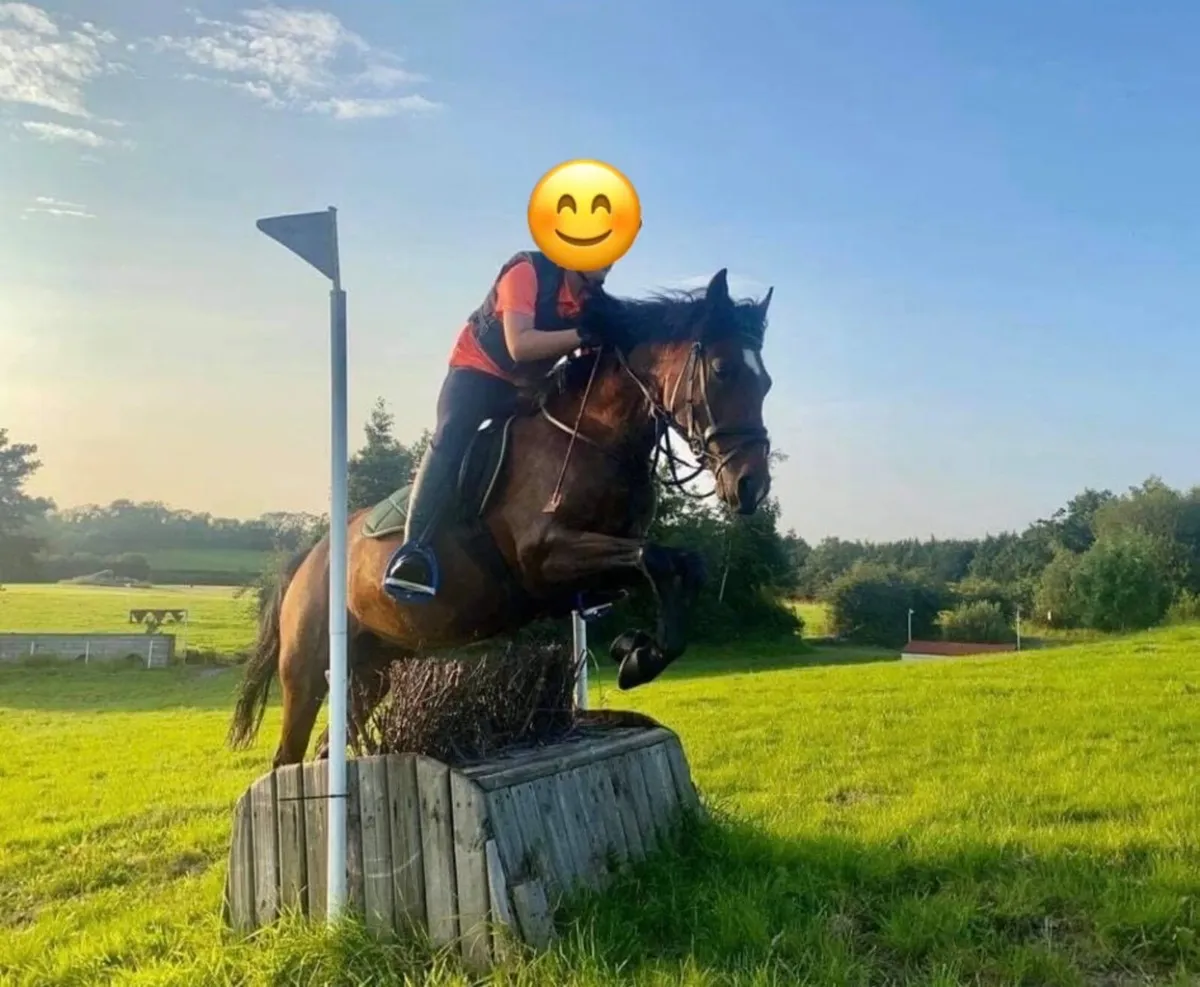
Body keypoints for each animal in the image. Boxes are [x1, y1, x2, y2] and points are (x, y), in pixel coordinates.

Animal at [227, 268, 775, 767]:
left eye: (766, 382)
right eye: (723, 370)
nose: (752, 485)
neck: (596, 438)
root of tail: (308, 558)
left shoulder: (585, 575)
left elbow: (682, 564)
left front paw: (637, 651)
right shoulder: (545, 557)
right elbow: (656, 557)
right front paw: (638, 656)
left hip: (372, 669)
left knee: (327, 746)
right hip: (307, 671)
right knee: (289, 755)